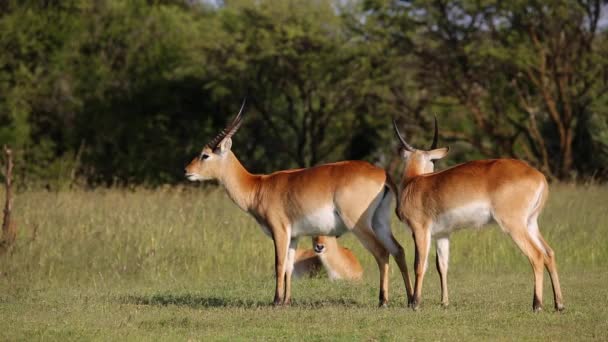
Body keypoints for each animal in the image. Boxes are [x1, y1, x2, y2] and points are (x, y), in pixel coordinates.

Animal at [184, 102, 414, 308]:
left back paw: (383, 301)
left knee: (382, 252)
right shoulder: (294, 235)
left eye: (205, 155)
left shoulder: (279, 231)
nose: (187, 171)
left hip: (358, 224)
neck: (258, 186)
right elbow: (288, 266)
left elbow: (278, 264)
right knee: (399, 250)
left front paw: (276, 301)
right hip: (380, 222)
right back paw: (411, 300)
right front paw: (287, 301)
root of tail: (381, 173)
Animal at [392, 118, 564, 312]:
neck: (413, 182)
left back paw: (537, 305)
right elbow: (442, 266)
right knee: (549, 253)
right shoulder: (443, 234)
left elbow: (419, 265)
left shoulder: (420, 230)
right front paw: (444, 302)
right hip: (530, 223)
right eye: (433, 162)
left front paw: (415, 303)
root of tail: (539, 176)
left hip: (514, 225)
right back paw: (559, 304)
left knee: (537, 255)